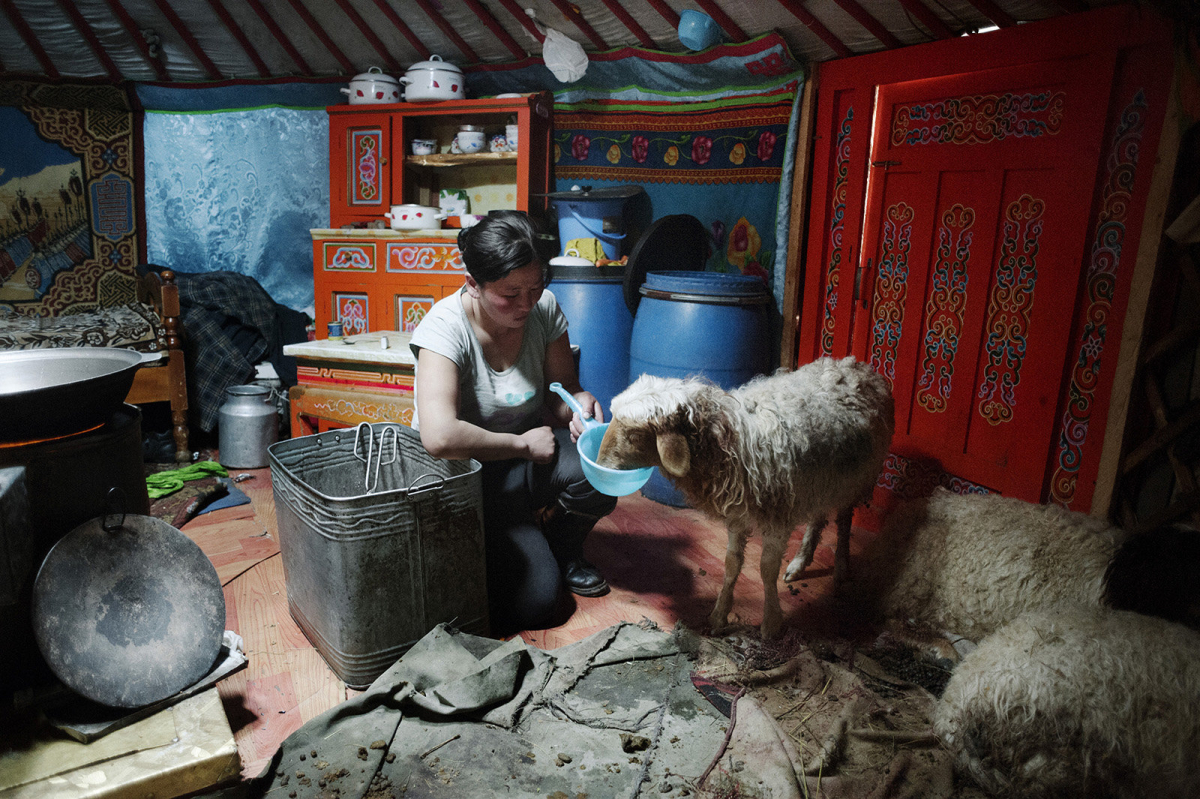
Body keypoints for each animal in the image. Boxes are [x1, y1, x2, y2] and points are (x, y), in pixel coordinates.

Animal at [597, 355, 892, 633]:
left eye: (635, 435)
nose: (599, 465)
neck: (731, 442)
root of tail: (856, 365)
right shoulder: (737, 515)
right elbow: (732, 564)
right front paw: (719, 615)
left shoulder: (778, 517)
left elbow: (766, 569)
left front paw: (771, 623)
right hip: (822, 483)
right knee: (818, 519)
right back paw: (800, 562)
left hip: (855, 479)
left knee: (843, 522)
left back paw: (840, 568)